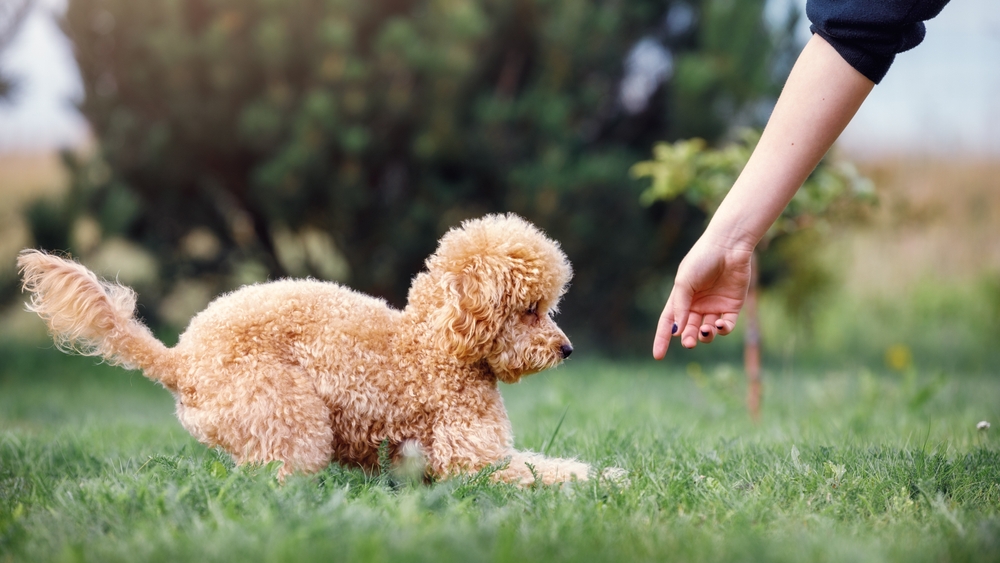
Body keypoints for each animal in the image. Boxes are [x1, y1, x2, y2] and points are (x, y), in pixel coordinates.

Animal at [17, 215, 608, 484]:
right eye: (531, 308)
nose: (568, 349)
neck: (436, 345)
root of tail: (179, 359)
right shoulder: (471, 463)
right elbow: (542, 474)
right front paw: (602, 482)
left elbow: (552, 464)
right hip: (286, 411)